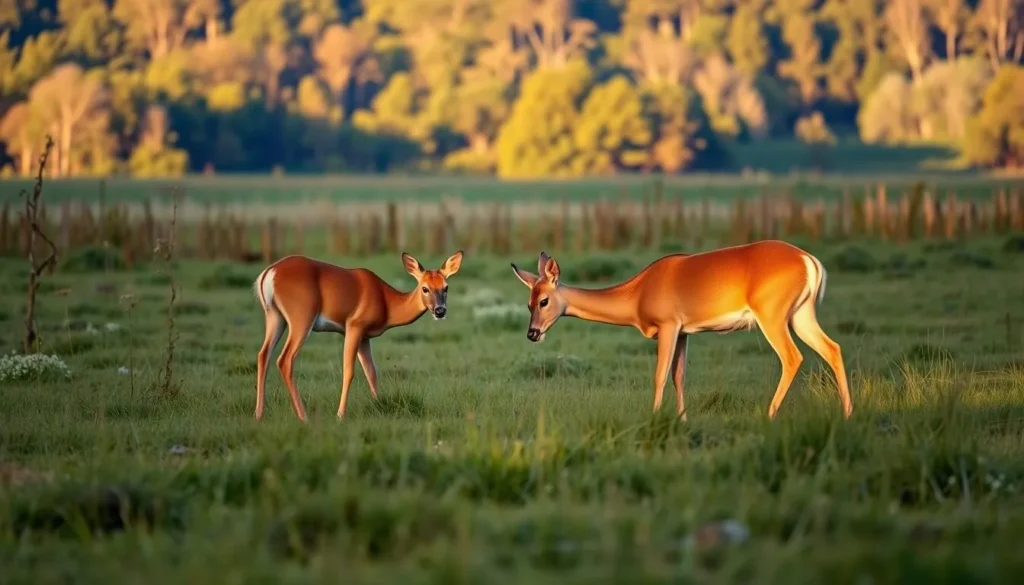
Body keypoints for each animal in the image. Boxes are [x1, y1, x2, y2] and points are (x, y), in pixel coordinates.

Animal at [253, 251, 464, 422]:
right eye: (424, 288)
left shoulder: (365, 337)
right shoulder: (354, 325)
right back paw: (303, 416)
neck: (386, 303)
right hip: (301, 316)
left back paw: (259, 414)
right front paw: (340, 415)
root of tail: (269, 273)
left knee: (263, 354)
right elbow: (349, 371)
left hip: (274, 316)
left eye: (446, 287)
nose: (440, 311)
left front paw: (378, 404)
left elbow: (371, 372)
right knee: (285, 359)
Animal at [510, 240, 852, 421]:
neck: (639, 291)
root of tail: (809, 260)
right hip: (801, 316)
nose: (532, 334)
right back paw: (848, 412)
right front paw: (682, 419)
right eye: (528, 303)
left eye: (543, 300)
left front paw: (655, 417)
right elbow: (679, 376)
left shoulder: (668, 327)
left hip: (773, 318)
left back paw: (769, 414)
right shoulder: (685, 333)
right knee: (833, 348)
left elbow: (660, 374)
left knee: (792, 357)